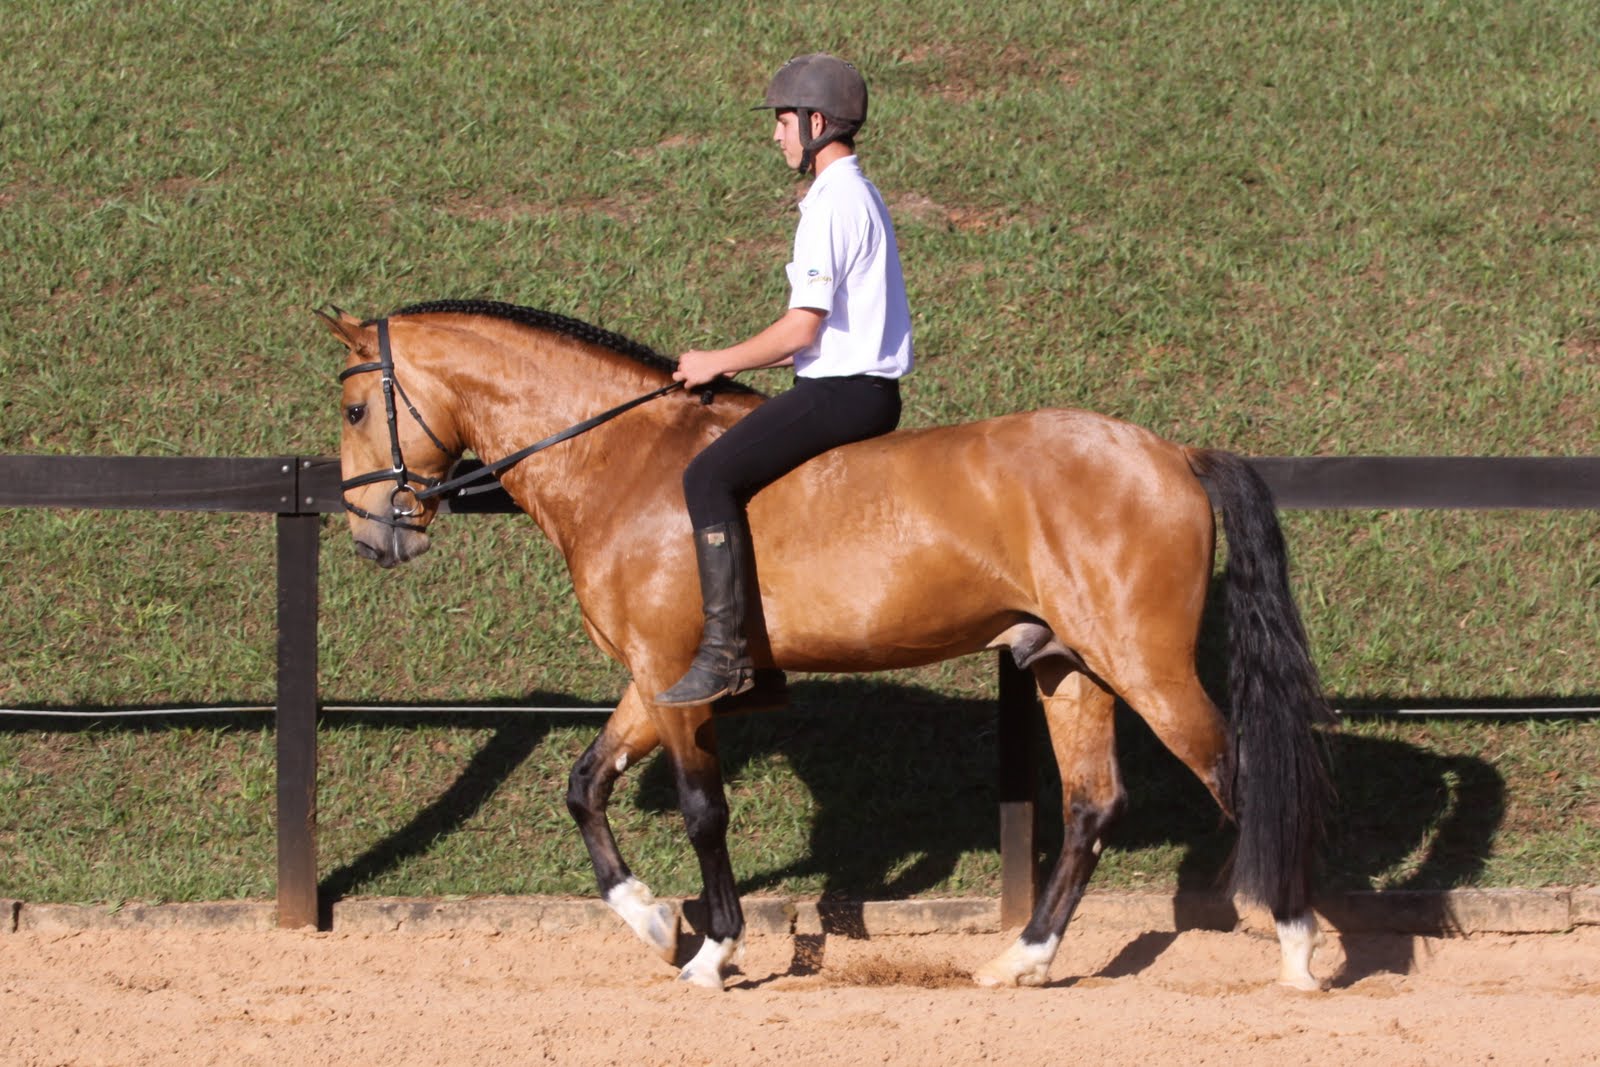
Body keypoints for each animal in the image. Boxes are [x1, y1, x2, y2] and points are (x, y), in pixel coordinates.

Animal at [318, 299, 1331, 991]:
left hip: (1146, 667)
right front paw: (650, 920)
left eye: (358, 410)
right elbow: (584, 784)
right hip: (1069, 667)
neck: (622, 464)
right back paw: (1023, 959)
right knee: (1093, 807)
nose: (373, 536)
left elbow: (703, 812)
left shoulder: (676, 682)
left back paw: (1296, 943)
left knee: (1242, 772)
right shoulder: (653, 680)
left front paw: (712, 950)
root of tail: (1173, 455)